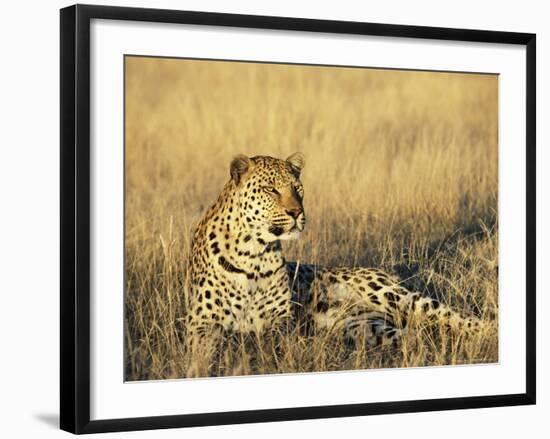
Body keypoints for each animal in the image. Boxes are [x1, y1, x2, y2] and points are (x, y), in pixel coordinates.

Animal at [187, 153, 492, 352]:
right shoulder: (200, 323)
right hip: (365, 326)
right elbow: (212, 345)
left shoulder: (281, 321)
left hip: (394, 297)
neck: (255, 252)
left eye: (297, 189)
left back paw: (489, 331)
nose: (296, 212)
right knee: (416, 334)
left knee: (449, 315)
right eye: (271, 190)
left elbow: (267, 339)